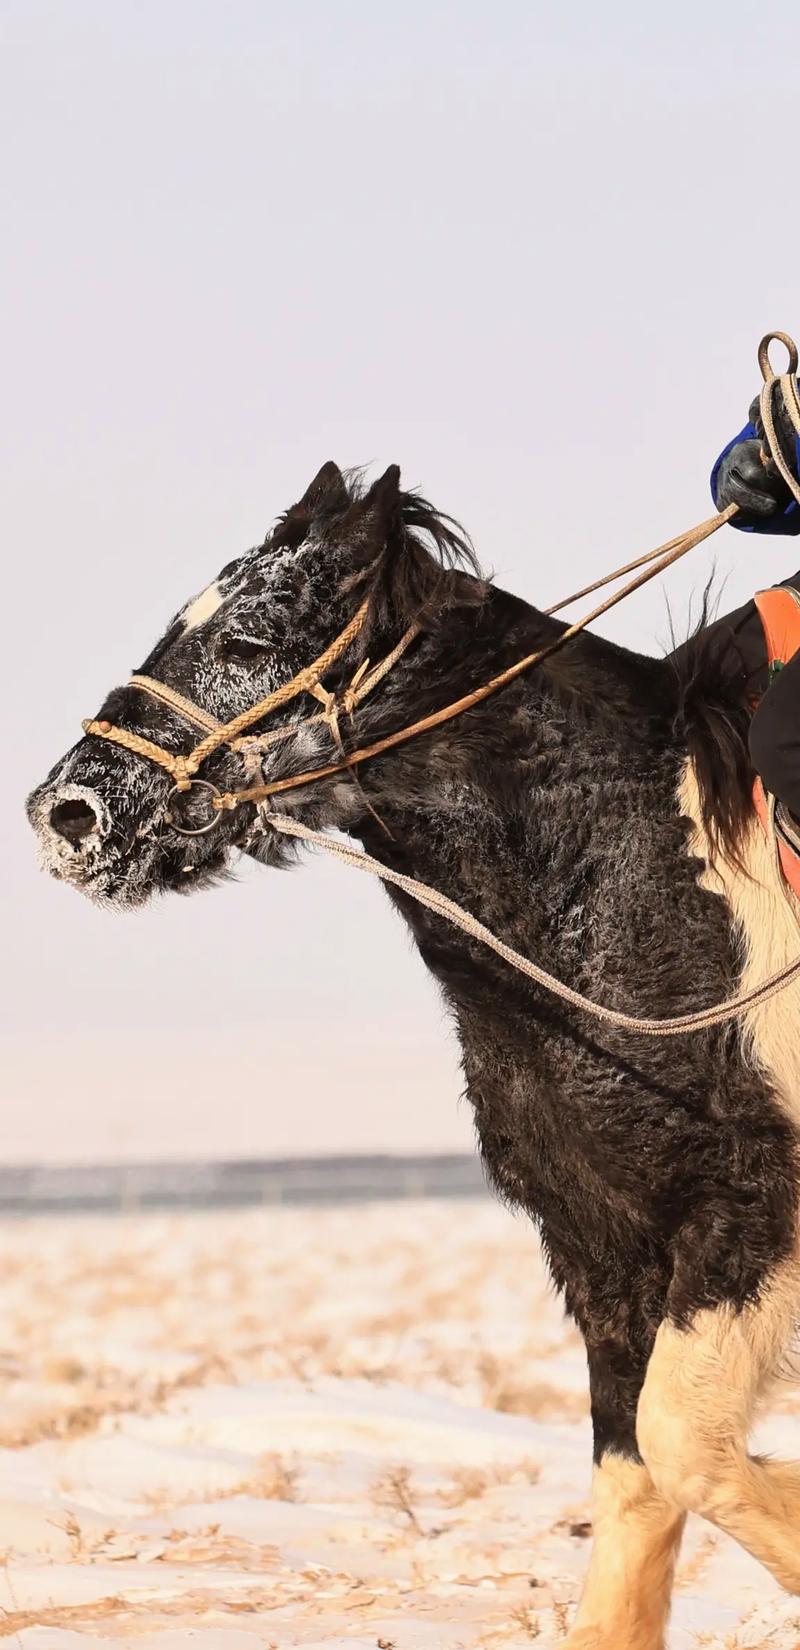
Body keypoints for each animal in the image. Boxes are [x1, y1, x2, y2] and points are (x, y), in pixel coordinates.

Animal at [28, 462, 798, 1650]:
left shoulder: (748, 1208)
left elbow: (683, 1446)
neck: (632, 877)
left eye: (249, 640)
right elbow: (634, 1484)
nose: (66, 813)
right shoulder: (601, 1246)